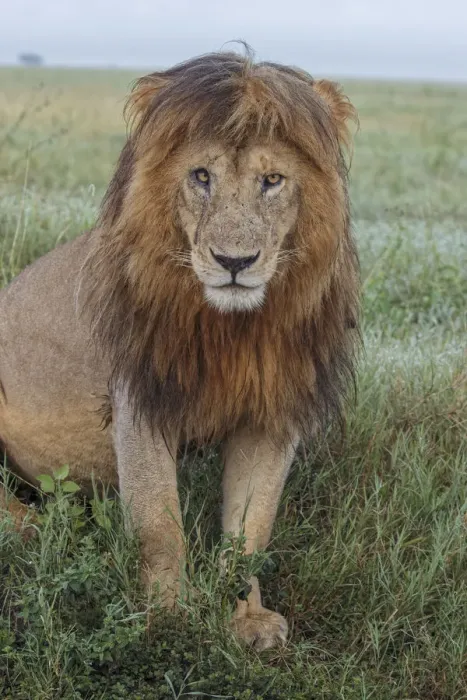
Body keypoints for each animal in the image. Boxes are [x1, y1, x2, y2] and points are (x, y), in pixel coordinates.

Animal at [0, 50, 359, 650]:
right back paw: (38, 527)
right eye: (201, 176)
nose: (234, 261)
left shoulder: (271, 414)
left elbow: (250, 527)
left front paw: (246, 619)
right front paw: (169, 619)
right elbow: (158, 522)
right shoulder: (139, 400)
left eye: (272, 180)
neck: (232, 329)